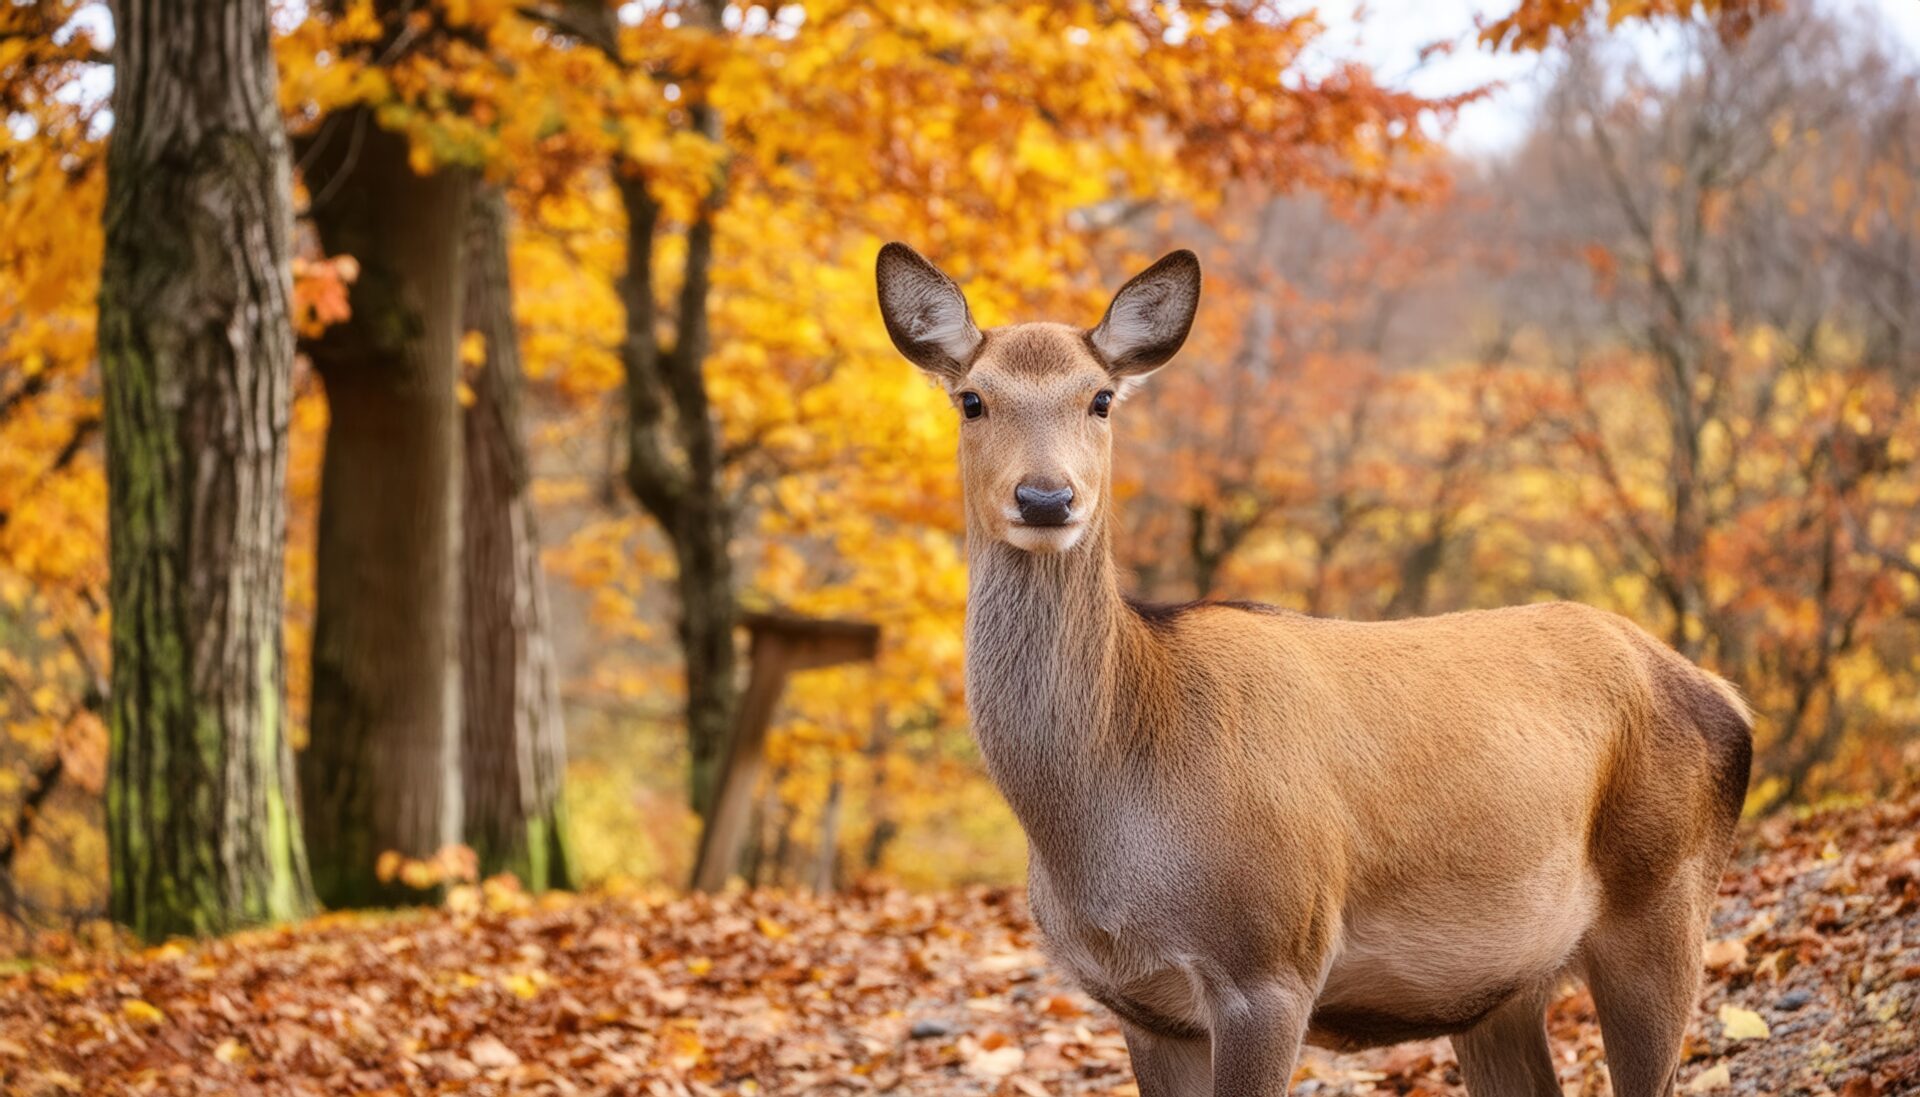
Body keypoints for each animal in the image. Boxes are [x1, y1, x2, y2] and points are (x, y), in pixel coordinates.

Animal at [874, 242, 1754, 1097]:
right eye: (972, 400)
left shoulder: (1269, 959)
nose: (1047, 498)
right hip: (1503, 992)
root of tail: (1728, 698)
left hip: (1663, 903)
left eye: (1100, 398)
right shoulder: (1142, 1005)